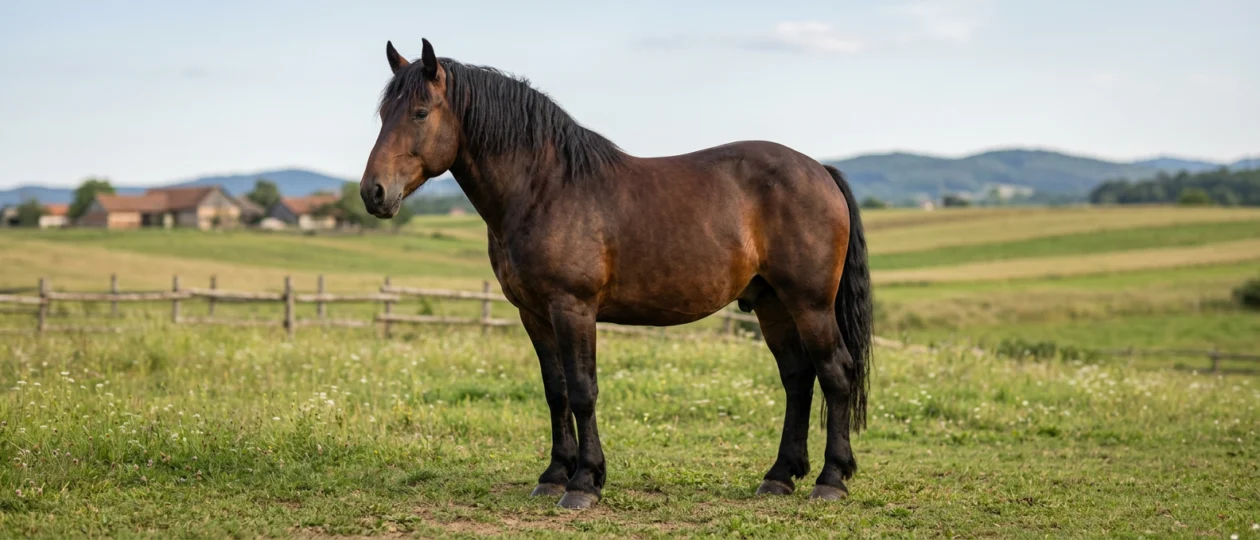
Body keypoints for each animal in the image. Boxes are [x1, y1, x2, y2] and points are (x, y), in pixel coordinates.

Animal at [359, 39, 874, 510]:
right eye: (384, 114)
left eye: (420, 113)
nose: (373, 193)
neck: (545, 189)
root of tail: (819, 170)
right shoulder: (534, 315)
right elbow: (556, 392)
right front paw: (553, 476)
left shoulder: (573, 308)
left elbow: (583, 391)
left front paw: (584, 483)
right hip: (772, 304)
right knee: (797, 377)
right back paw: (780, 476)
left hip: (810, 304)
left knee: (835, 373)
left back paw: (830, 480)